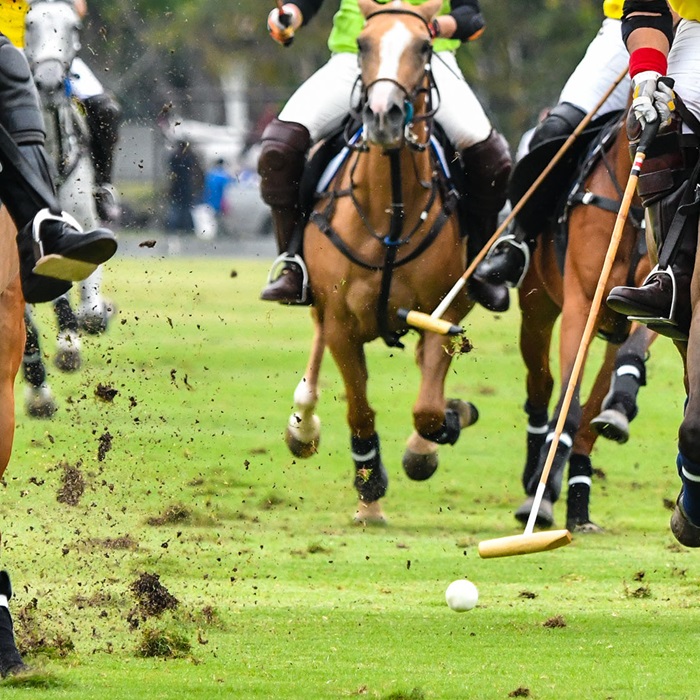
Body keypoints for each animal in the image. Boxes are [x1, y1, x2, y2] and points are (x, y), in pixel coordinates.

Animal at [282, 0, 478, 524]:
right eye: (364, 43)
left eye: (426, 45)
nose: (383, 116)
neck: (391, 211)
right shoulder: (341, 323)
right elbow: (359, 409)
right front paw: (369, 494)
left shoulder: (442, 312)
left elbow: (429, 410)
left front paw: (441, 431)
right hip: (318, 301)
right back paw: (302, 424)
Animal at [516, 116, 656, 532]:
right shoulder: (580, 303)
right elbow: (569, 404)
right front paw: (542, 494)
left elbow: (630, 356)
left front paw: (620, 407)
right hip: (536, 311)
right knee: (543, 385)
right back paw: (534, 479)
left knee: (593, 413)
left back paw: (579, 505)